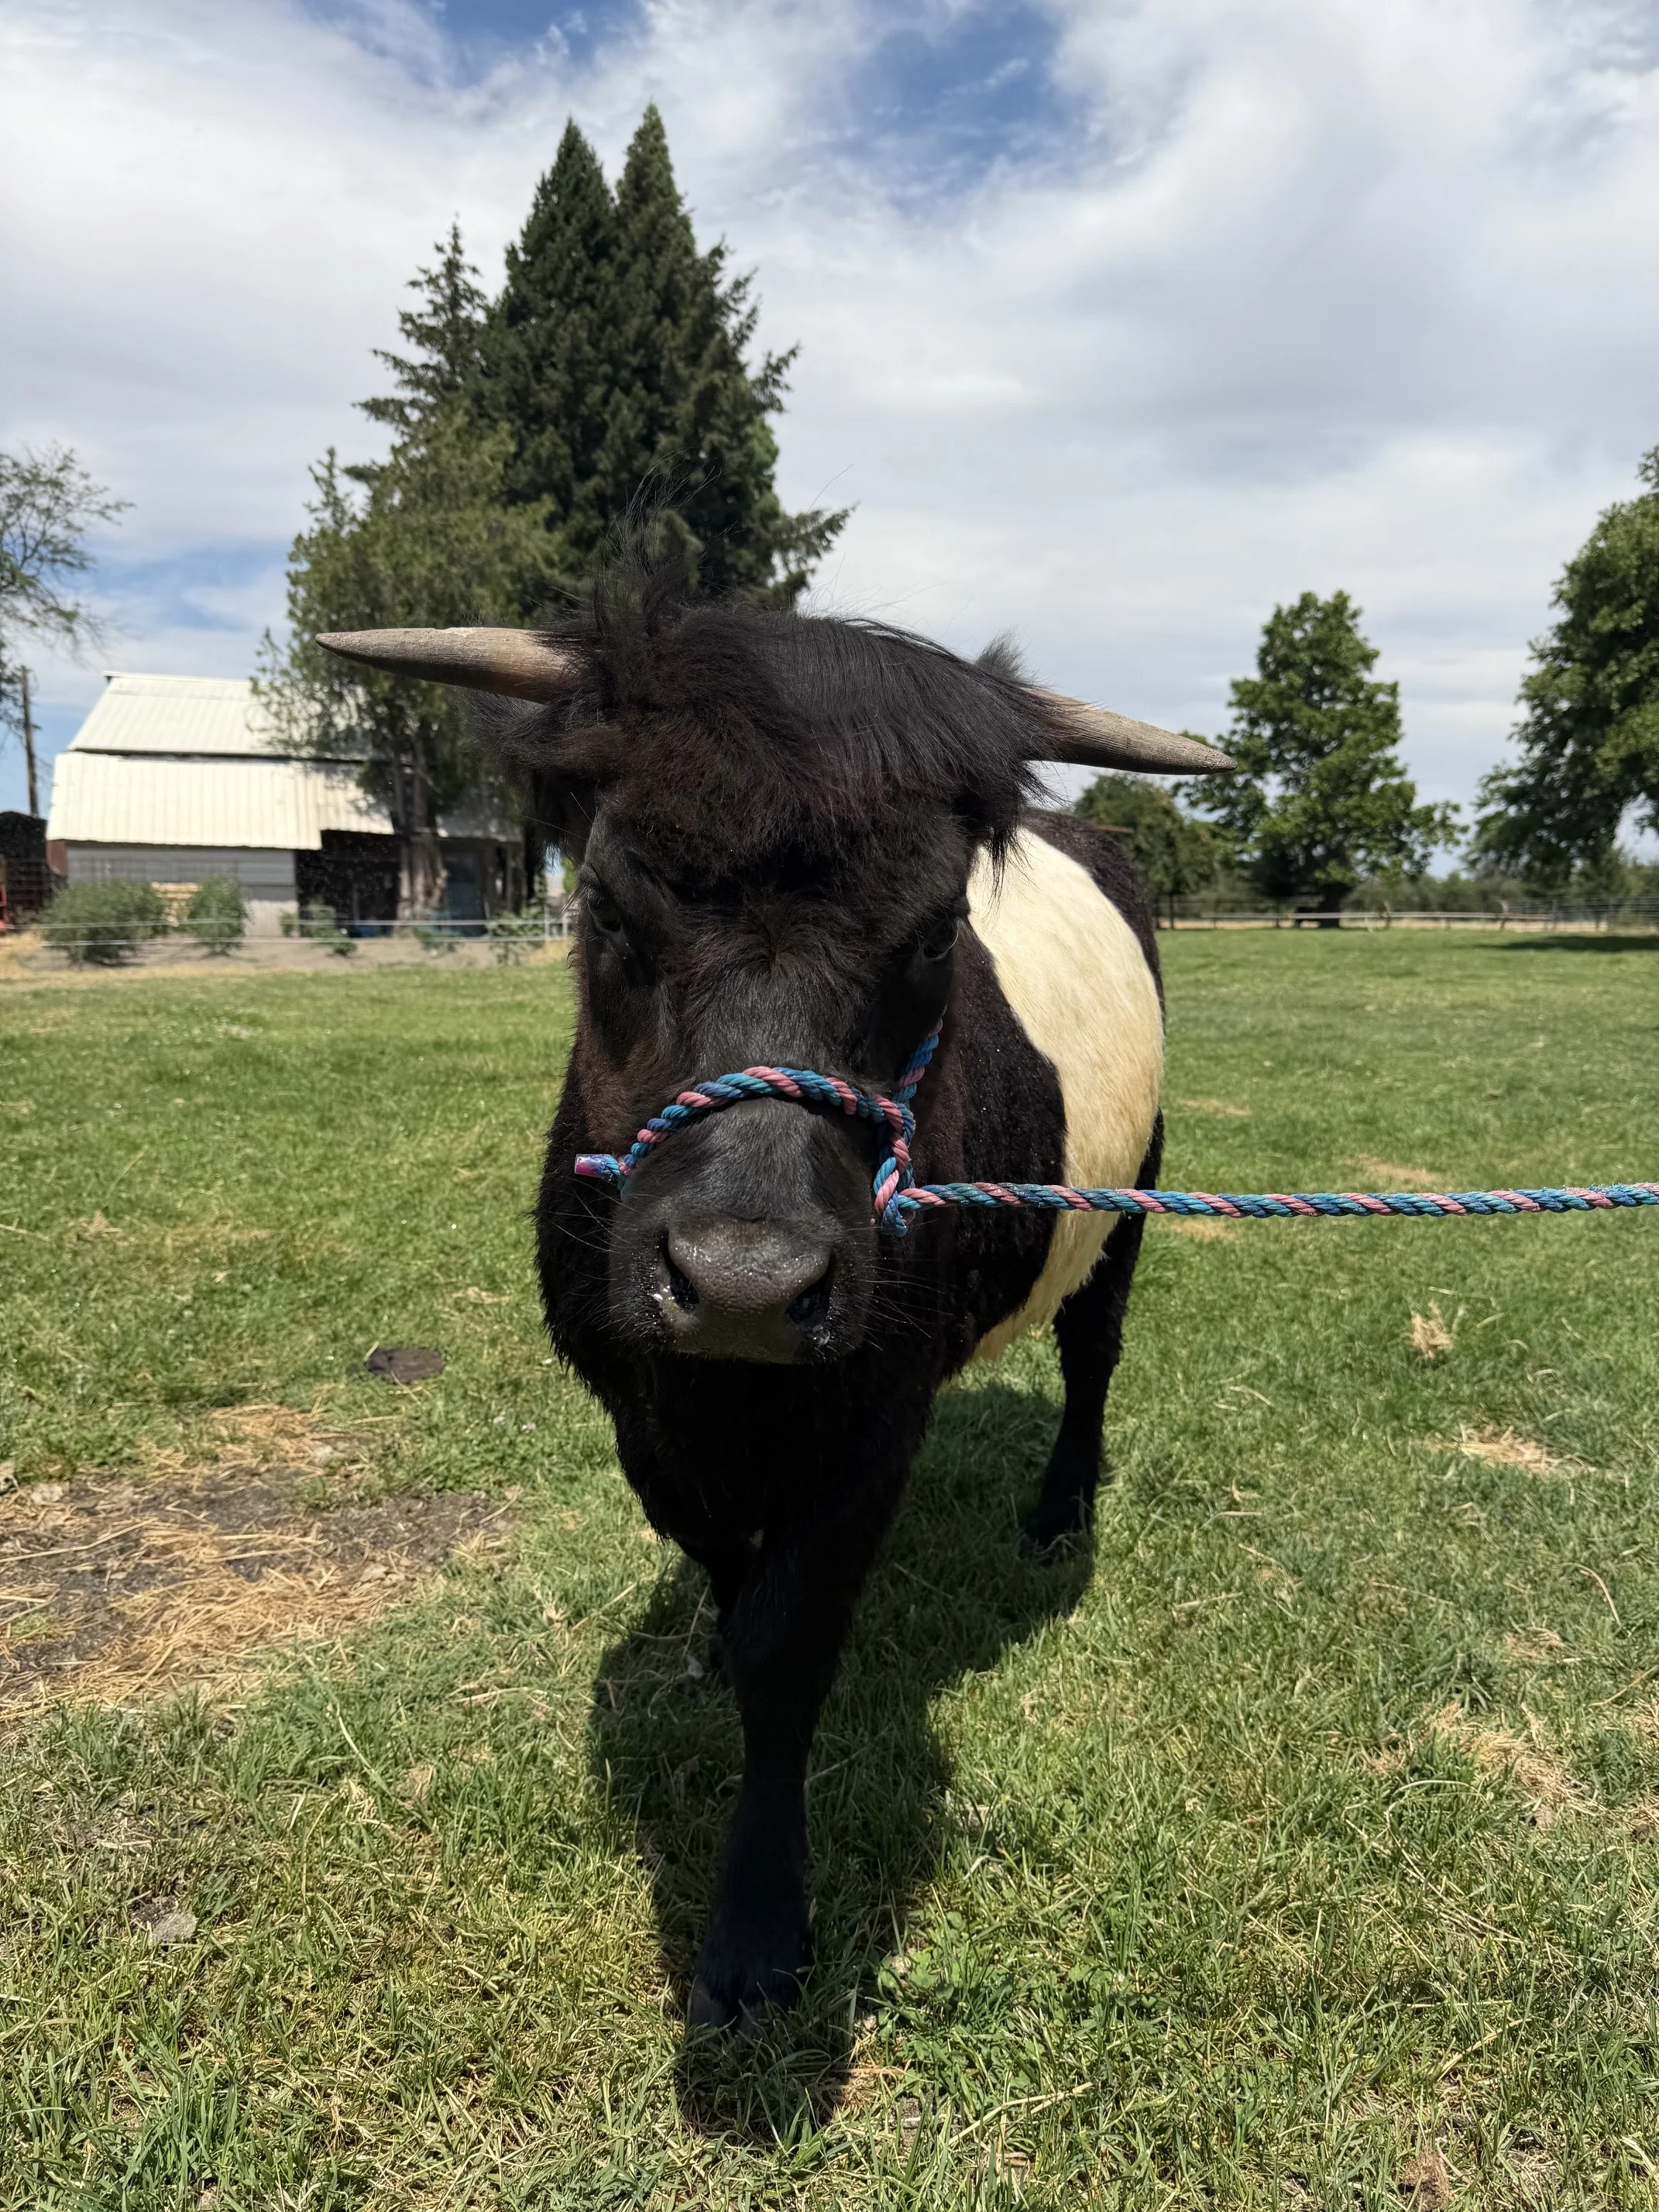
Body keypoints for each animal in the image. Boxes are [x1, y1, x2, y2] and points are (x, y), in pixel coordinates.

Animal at [320, 579, 1231, 2032]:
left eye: (935, 932)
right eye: (609, 910)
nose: (744, 1283)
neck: (728, 1391)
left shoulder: (871, 1423)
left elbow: (785, 1646)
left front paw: (753, 1922)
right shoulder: (637, 1406)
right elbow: (719, 1566)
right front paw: (703, 1635)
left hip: (1132, 1192)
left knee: (1092, 1349)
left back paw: (1056, 1511)